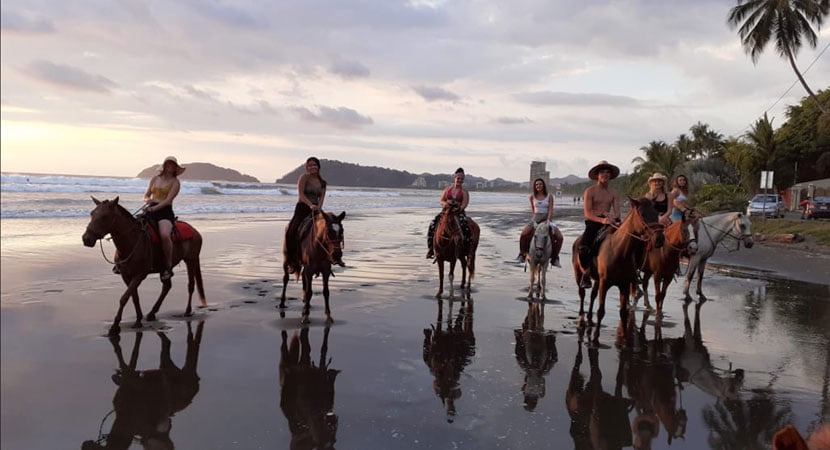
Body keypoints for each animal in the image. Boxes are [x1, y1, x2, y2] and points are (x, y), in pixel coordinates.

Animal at [82, 195, 208, 336]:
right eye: (92, 214)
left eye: (104, 216)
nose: (86, 239)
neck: (131, 241)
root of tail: (195, 231)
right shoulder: (126, 275)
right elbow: (134, 297)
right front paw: (138, 320)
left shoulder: (140, 275)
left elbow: (124, 298)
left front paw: (115, 326)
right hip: (166, 268)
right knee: (167, 286)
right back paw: (152, 313)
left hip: (191, 260)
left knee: (190, 285)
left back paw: (187, 311)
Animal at [568, 197, 668, 342]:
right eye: (643, 214)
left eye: (656, 213)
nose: (659, 239)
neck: (619, 251)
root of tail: (577, 241)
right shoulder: (605, 283)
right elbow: (601, 311)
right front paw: (595, 339)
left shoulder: (624, 285)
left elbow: (623, 313)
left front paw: (625, 339)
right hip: (579, 274)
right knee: (582, 294)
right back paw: (581, 319)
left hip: (597, 280)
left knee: (592, 296)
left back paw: (589, 319)